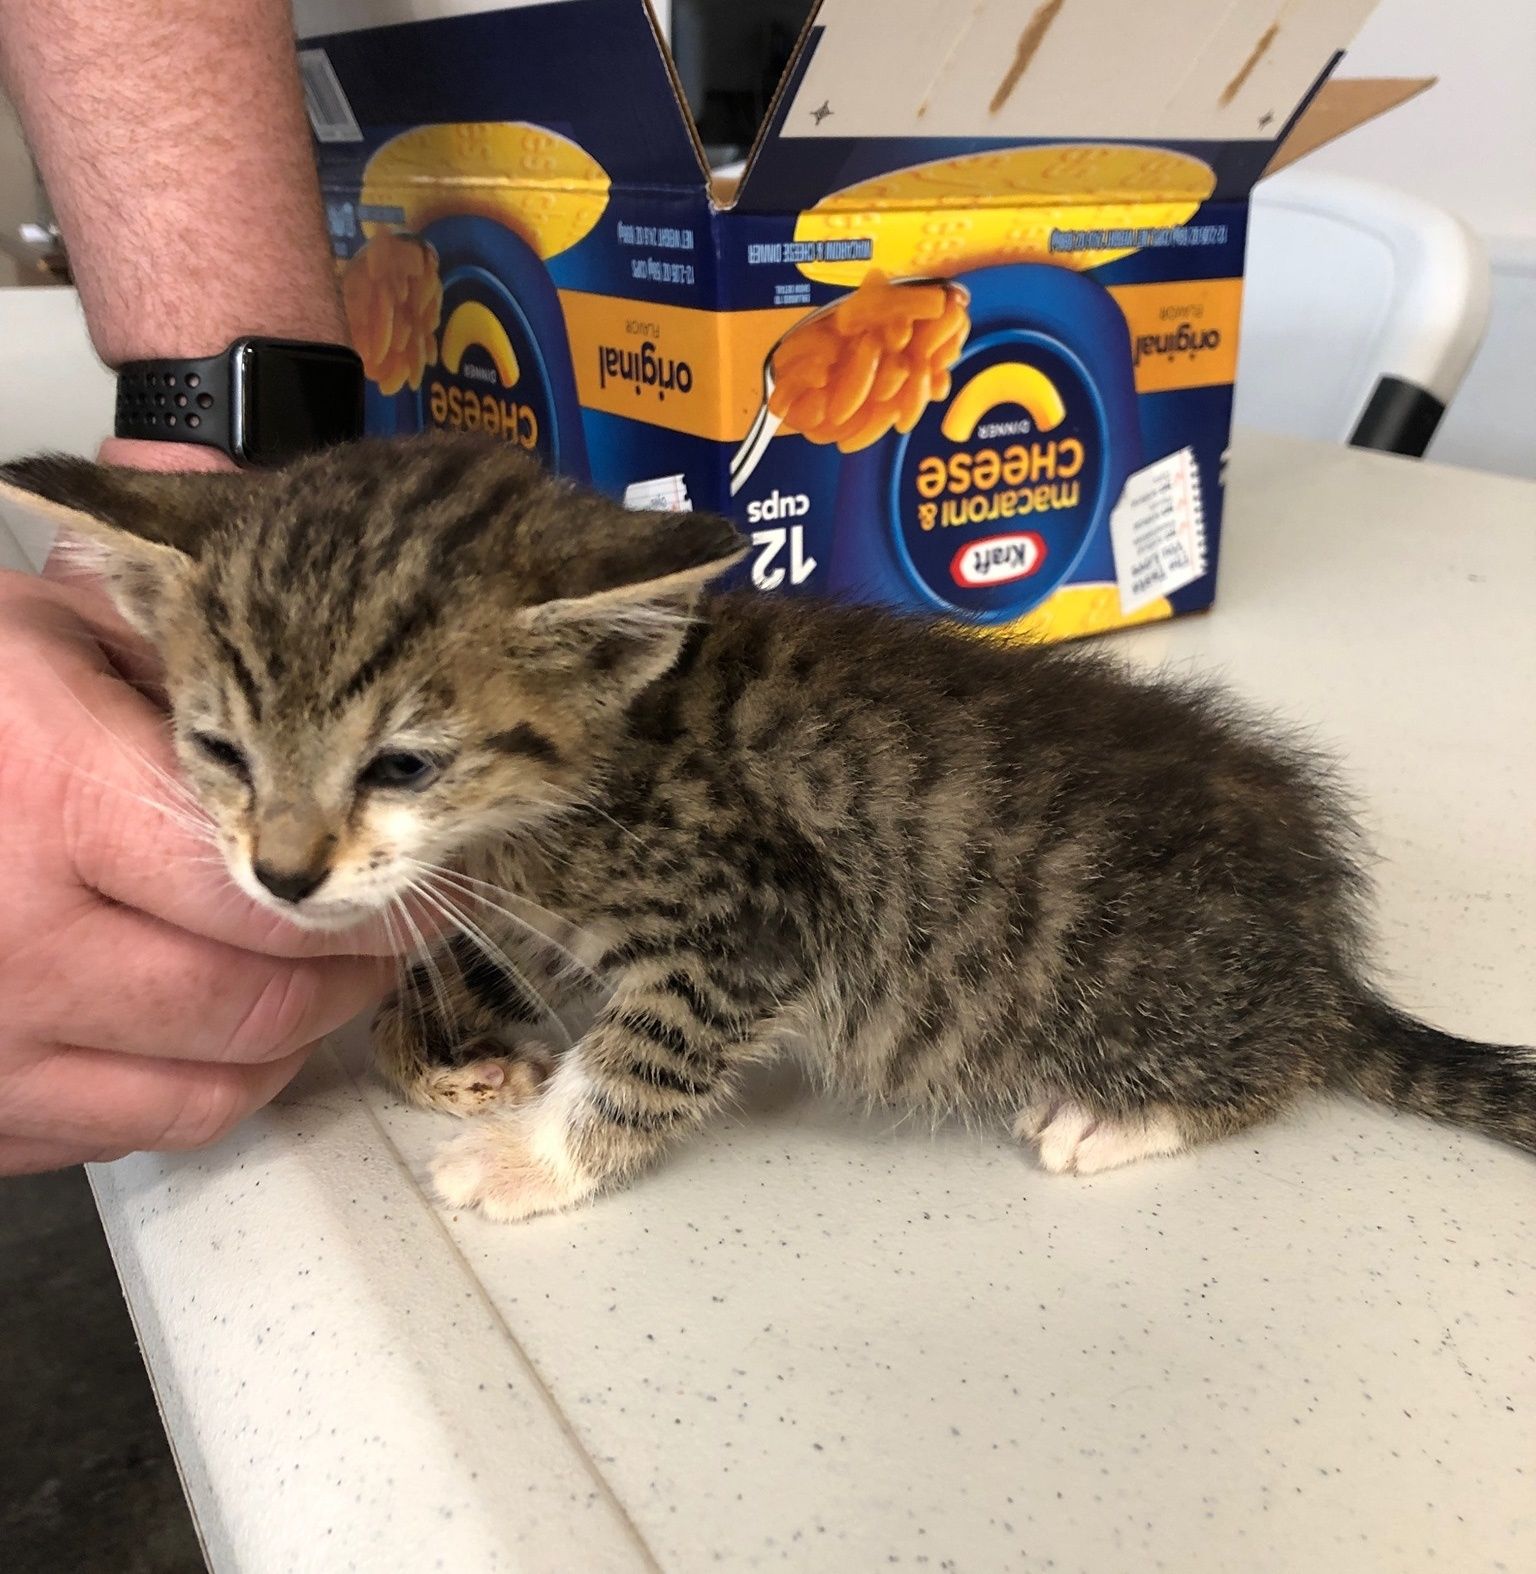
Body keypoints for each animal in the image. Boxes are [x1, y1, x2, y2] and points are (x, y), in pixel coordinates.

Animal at [6, 437, 1529, 1221]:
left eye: (402, 762)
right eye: (218, 750)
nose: (281, 870)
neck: (611, 745)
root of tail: (1323, 946)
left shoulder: (756, 914)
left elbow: (643, 1054)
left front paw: (535, 1155)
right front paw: (443, 1040)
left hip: (1147, 992)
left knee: (1269, 1064)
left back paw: (1121, 1113)